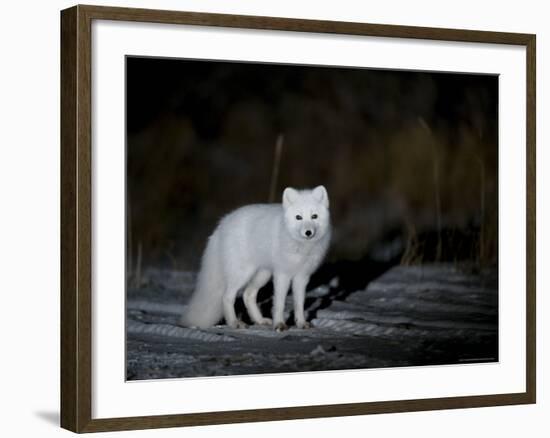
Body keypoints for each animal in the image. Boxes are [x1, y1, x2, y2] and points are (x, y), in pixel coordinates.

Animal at [181, 186, 332, 332]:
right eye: (298, 217)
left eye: (314, 216)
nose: (308, 232)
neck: (301, 247)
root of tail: (222, 224)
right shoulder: (282, 274)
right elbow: (280, 303)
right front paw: (279, 324)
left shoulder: (302, 277)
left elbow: (299, 303)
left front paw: (301, 323)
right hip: (242, 274)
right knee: (227, 297)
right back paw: (235, 323)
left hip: (262, 275)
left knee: (248, 295)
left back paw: (259, 320)